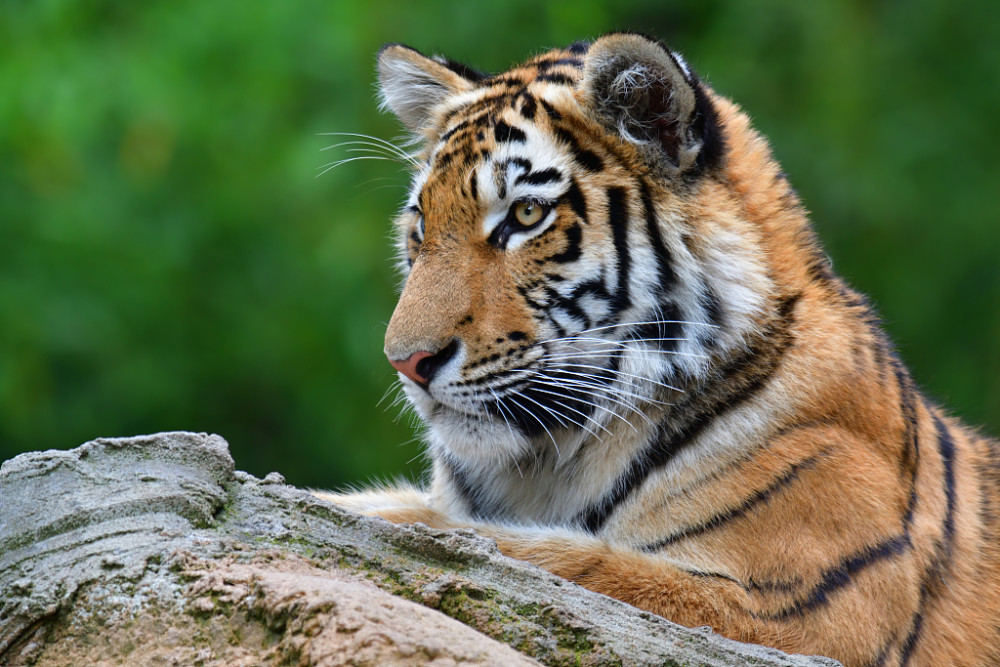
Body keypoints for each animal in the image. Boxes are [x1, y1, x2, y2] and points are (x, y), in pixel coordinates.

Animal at [318, 34, 1000, 664]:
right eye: (421, 226)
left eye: (526, 214)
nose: (407, 362)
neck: (543, 467)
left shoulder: (810, 616)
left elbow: (546, 557)